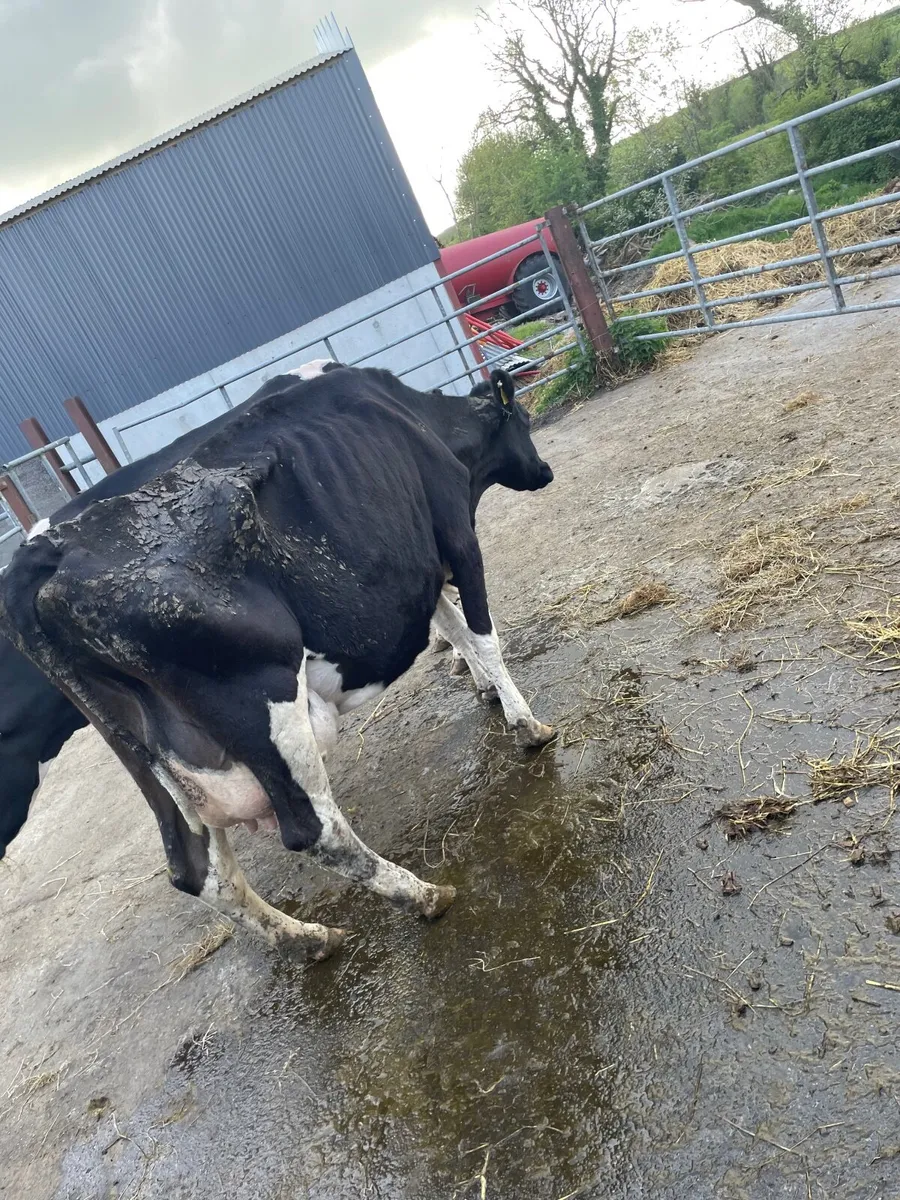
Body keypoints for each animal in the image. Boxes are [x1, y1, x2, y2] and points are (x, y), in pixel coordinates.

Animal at [0, 364, 553, 958]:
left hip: (145, 754)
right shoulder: (455, 536)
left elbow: (452, 628)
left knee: (197, 872)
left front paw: (484, 689)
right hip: (261, 694)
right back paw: (423, 895)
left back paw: (308, 937)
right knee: (313, 829)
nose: (544, 471)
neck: (415, 419)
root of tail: (46, 553)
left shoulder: (418, 571)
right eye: (521, 419)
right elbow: (483, 635)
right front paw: (527, 725)